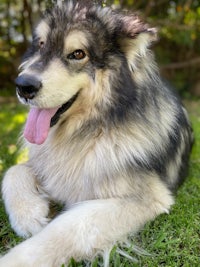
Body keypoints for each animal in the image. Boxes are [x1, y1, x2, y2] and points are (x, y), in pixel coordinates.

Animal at [0, 0, 193, 267]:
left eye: (78, 54)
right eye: (41, 45)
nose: (23, 86)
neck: (88, 132)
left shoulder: (148, 198)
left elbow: (72, 228)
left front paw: (16, 259)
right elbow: (12, 171)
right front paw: (29, 214)